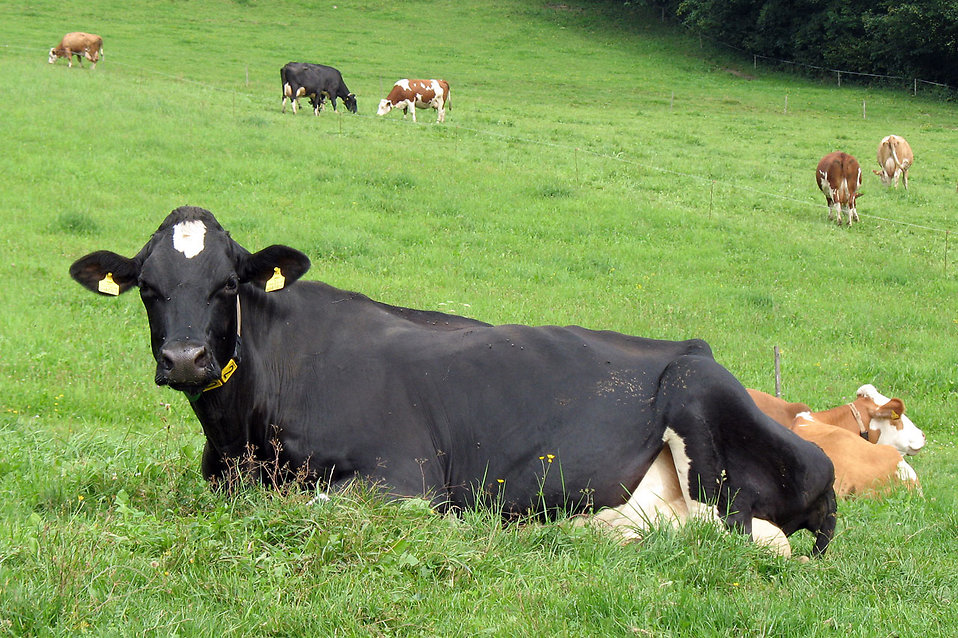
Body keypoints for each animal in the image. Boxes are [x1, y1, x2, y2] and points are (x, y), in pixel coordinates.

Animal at [69, 206, 837, 556]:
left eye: (227, 283)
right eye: (148, 290)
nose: (185, 359)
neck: (243, 439)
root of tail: (699, 348)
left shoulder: (403, 477)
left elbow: (320, 507)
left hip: (700, 406)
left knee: (750, 534)